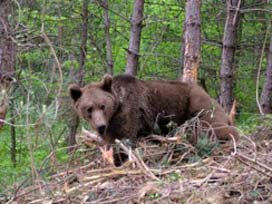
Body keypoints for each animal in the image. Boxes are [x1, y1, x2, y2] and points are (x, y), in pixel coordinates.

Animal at [69, 75, 239, 145]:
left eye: (103, 106)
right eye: (88, 109)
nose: (100, 126)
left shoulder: (131, 112)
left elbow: (125, 136)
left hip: (197, 105)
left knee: (209, 127)